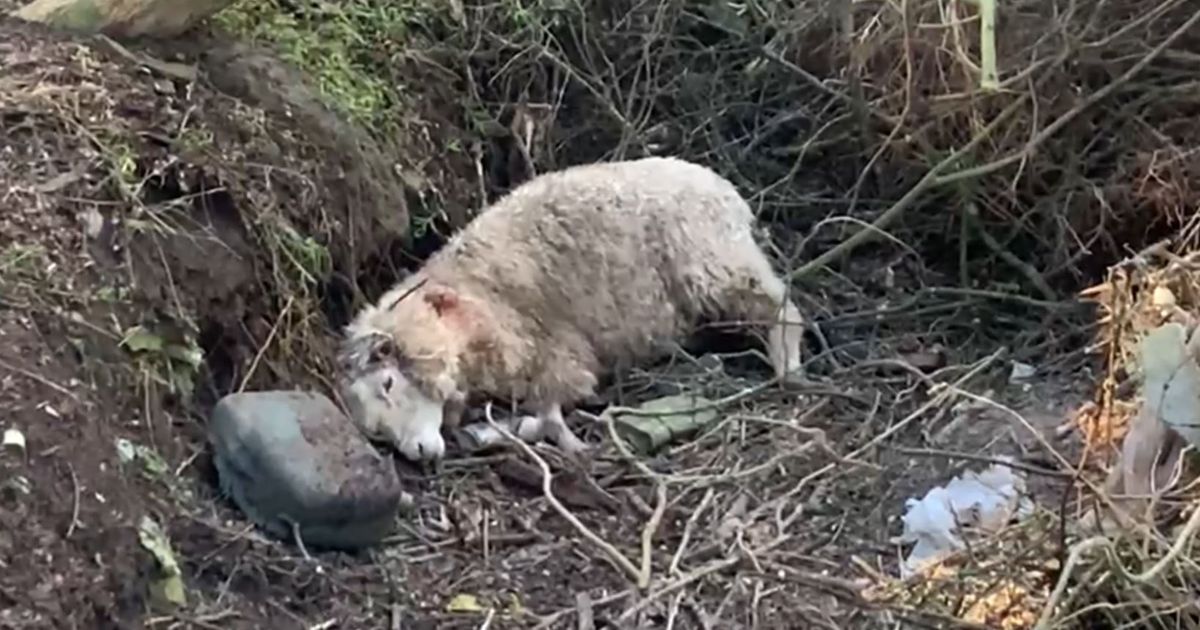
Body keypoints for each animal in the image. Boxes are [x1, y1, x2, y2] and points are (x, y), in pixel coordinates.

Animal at [336, 156, 807, 462]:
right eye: (376, 432)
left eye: (389, 384)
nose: (417, 453)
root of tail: (725, 190)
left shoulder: (553, 352)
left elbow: (548, 403)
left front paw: (550, 436)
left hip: (714, 261)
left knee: (781, 305)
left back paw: (789, 366)